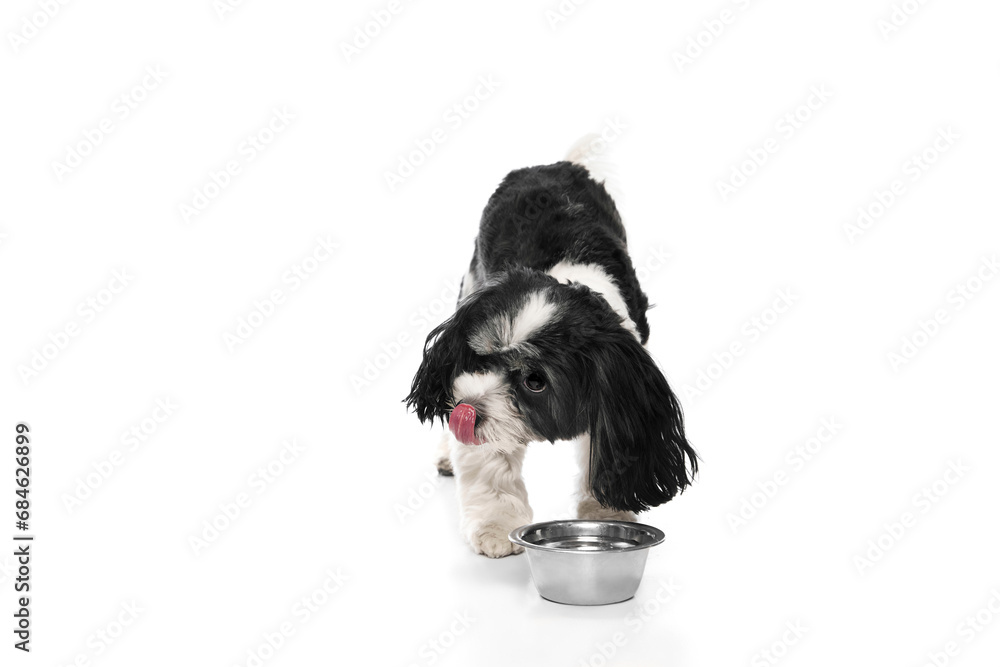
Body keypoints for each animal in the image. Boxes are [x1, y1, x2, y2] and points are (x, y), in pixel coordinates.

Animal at [404, 142, 696, 560]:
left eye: (535, 381)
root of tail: (553, 165)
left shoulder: (618, 392)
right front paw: (497, 525)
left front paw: (606, 511)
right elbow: (489, 458)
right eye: (480, 357)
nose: (466, 413)